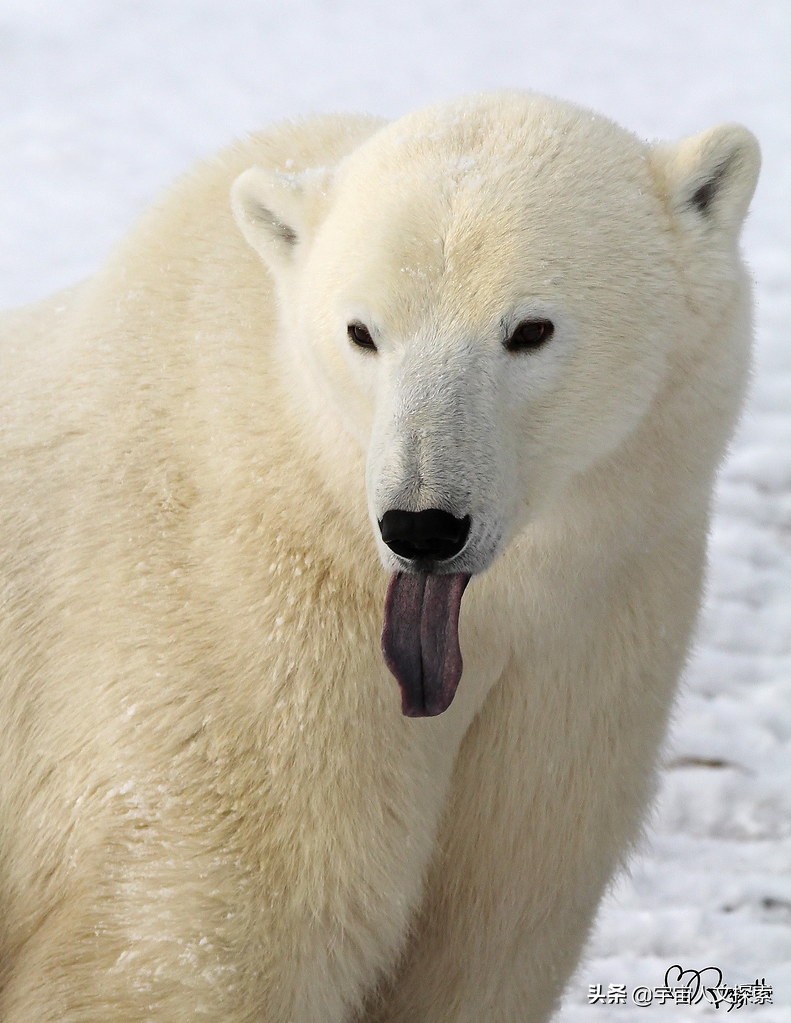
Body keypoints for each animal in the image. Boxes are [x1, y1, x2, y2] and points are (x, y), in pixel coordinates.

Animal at [1, 92, 757, 1018]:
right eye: (362, 332)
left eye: (529, 329)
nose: (421, 525)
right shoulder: (239, 664)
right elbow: (186, 949)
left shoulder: (580, 656)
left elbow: (485, 938)